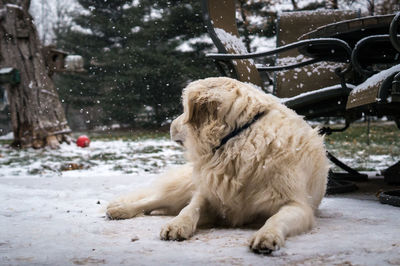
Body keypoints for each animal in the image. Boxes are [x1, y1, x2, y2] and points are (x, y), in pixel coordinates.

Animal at [106, 76, 328, 254]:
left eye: (184, 110)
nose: (169, 126)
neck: (240, 138)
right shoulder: (208, 192)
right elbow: (190, 208)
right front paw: (177, 224)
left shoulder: (297, 205)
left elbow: (276, 219)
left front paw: (267, 235)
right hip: (185, 186)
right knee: (154, 200)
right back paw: (120, 209)